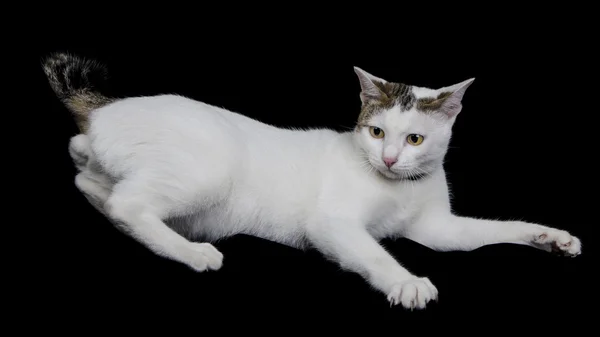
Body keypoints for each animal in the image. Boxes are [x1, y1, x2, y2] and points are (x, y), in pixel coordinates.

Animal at [42, 51, 580, 310]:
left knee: (85, 170)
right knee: (127, 204)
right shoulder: (333, 225)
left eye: (414, 140)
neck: (399, 188)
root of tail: (107, 108)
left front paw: (553, 239)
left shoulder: (439, 231)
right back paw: (195, 254)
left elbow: (490, 231)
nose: (388, 159)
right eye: (377, 132)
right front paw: (406, 282)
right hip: (210, 172)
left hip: (118, 163)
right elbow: (374, 253)